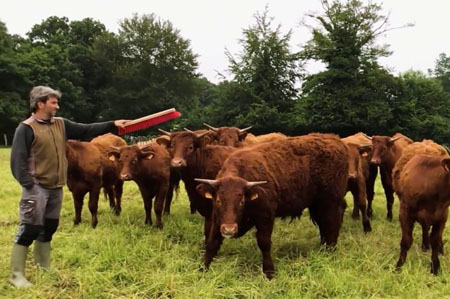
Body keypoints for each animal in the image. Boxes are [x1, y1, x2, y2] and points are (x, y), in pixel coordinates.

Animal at [194, 134, 348, 278]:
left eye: (242, 201)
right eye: (219, 200)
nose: (229, 229)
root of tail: (336, 140)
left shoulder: (266, 216)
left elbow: (264, 243)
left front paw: (269, 272)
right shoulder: (217, 218)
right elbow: (212, 242)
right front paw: (202, 270)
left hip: (330, 202)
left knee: (332, 225)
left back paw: (330, 253)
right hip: (318, 205)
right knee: (324, 226)